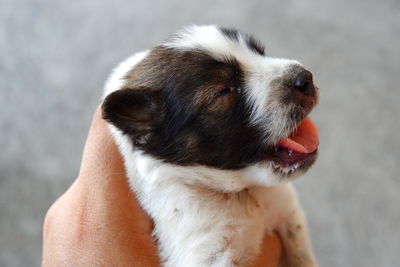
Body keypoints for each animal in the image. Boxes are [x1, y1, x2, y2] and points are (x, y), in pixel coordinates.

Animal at [101, 25, 318, 267]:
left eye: (259, 52)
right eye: (223, 91)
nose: (304, 78)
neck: (241, 194)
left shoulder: (288, 211)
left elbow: (302, 255)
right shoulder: (206, 251)